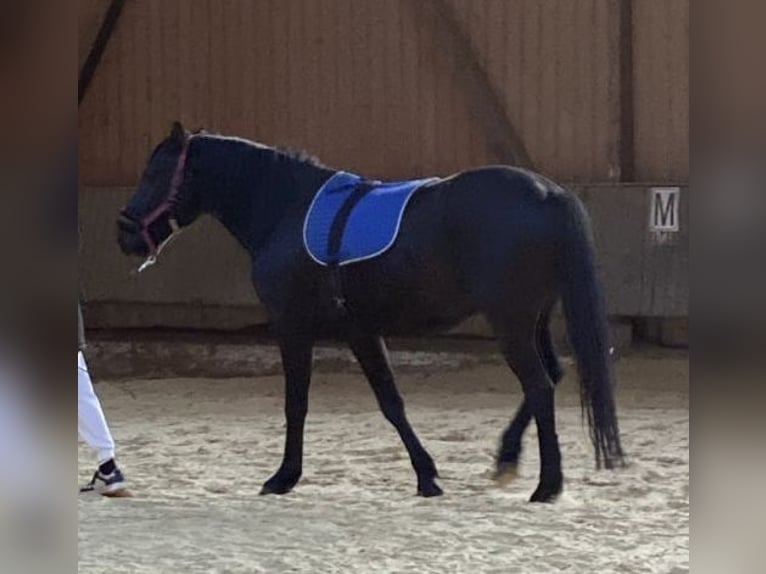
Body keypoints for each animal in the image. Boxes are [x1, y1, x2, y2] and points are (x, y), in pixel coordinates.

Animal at [117, 121, 624, 502]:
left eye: (156, 172)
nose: (124, 234)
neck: (284, 209)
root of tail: (548, 192)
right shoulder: (360, 331)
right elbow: (391, 402)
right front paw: (427, 476)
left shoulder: (292, 327)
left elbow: (296, 403)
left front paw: (283, 476)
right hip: (532, 320)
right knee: (552, 375)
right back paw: (507, 461)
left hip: (511, 323)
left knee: (539, 384)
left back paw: (547, 485)